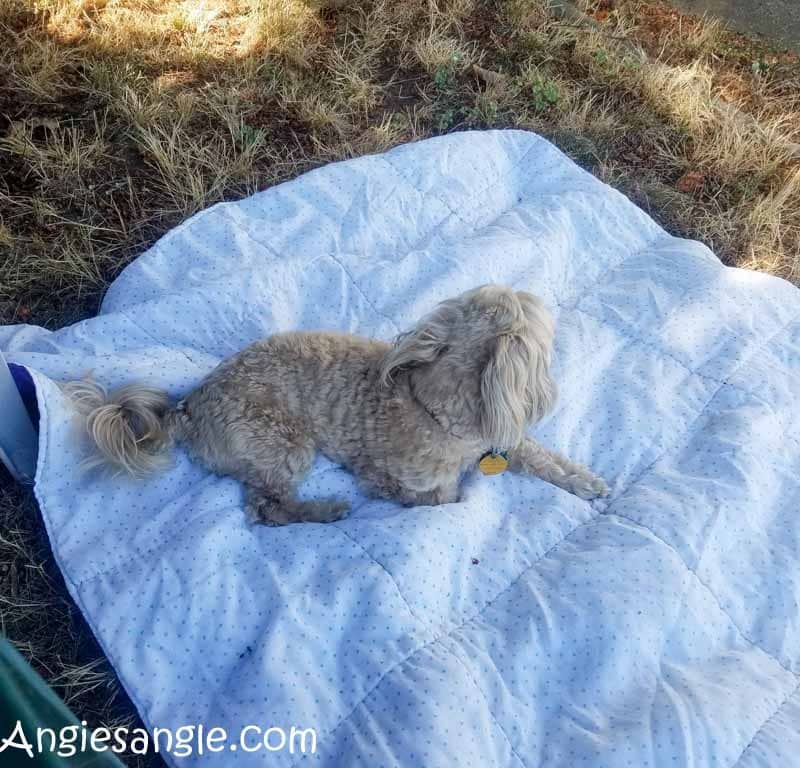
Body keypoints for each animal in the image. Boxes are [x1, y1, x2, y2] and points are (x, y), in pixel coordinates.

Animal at [70, 284, 608, 524]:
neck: (433, 407)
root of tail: (188, 407)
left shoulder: (498, 439)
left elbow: (539, 456)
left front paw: (584, 481)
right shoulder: (390, 480)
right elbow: (442, 499)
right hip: (282, 442)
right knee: (267, 508)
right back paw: (325, 510)